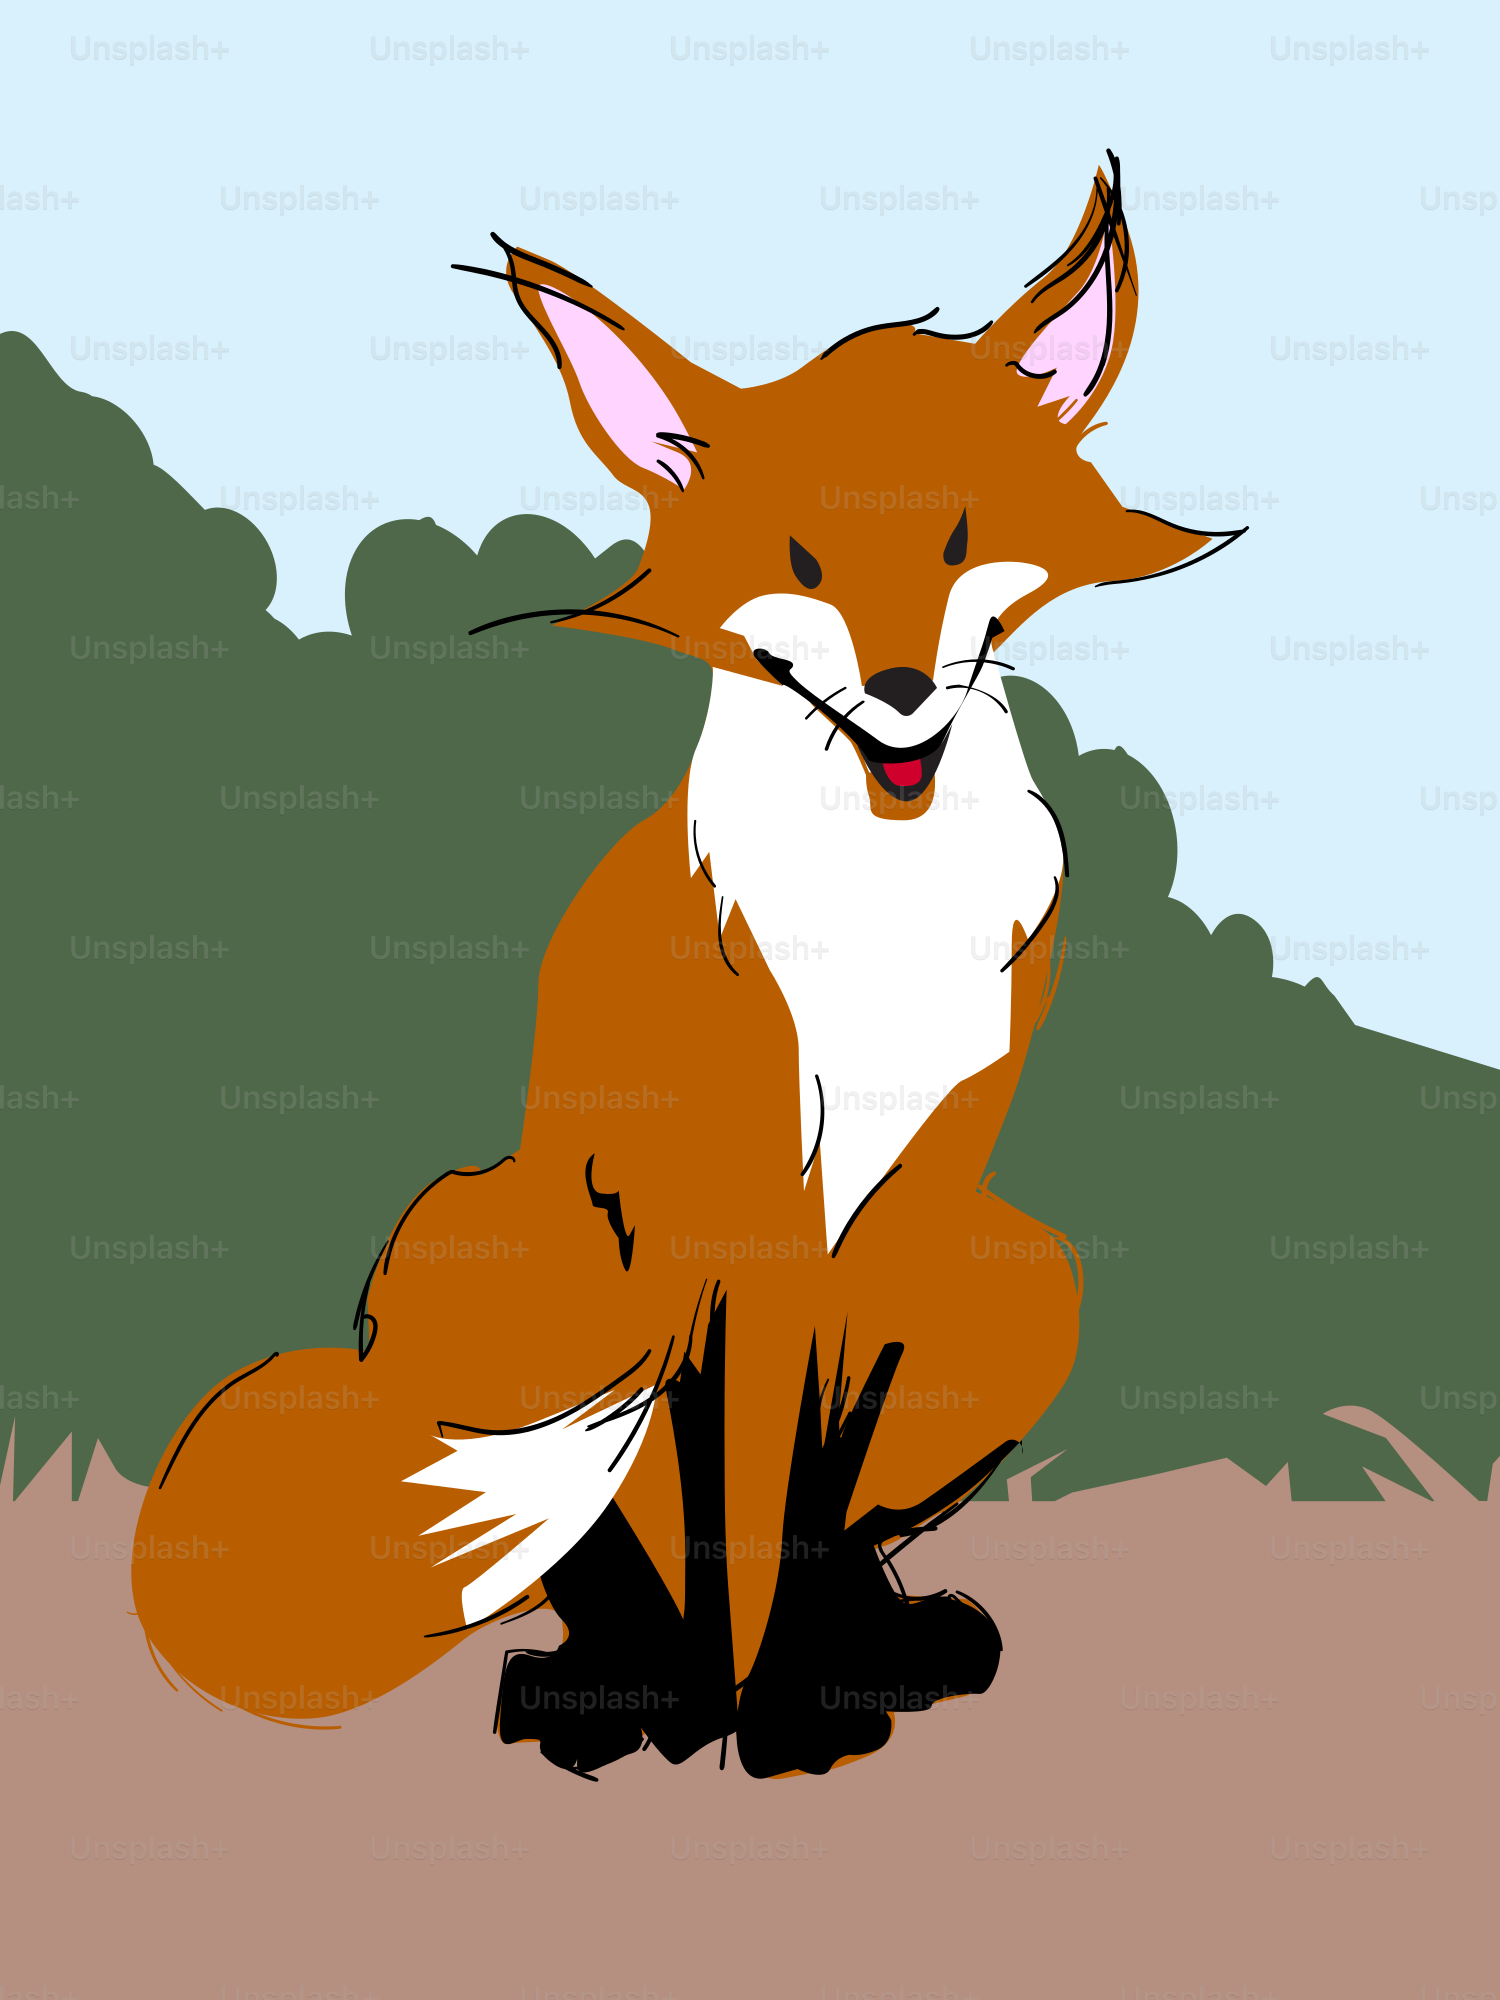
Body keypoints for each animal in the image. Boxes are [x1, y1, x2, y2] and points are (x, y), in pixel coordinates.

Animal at [131, 152, 1243, 1779]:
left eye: (960, 539)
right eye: (803, 563)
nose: (899, 690)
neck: (874, 923)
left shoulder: (903, 1216)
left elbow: (812, 1494)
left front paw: (799, 1704)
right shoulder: (738, 1219)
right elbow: (734, 1506)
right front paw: (742, 1718)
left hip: (1026, 1272)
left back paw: (884, 1651)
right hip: (491, 1258)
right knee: (592, 1535)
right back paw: (625, 1695)